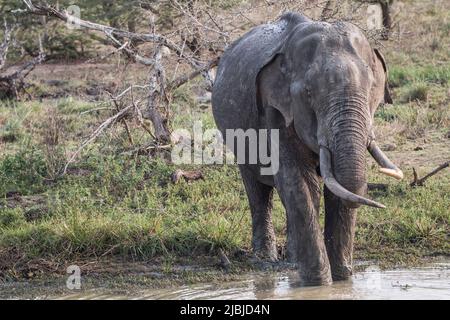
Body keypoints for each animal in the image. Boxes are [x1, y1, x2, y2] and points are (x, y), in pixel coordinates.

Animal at [211, 12, 404, 286]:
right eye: (309, 94)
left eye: (370, 90)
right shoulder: (274, 111)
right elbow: (298, 181)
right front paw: (319, 283)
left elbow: (339, 187)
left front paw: (343, 281)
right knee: (258, 189)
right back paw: (265, 259)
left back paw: (292, 260)